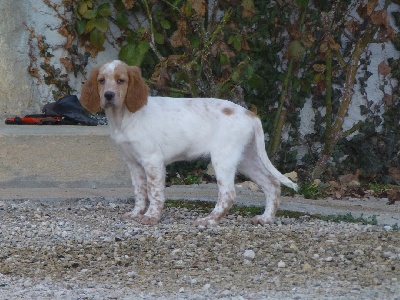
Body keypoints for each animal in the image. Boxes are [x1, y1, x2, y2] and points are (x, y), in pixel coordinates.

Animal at [80, 59, 296, 226]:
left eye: (121, 80)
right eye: (101, 80)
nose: (108, 95)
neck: (124, 117)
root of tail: (250, 114)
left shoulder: (152, 160)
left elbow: (154, 192)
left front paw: (151, 217)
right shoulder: (133, 162)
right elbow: (140, 191)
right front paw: (135, 213)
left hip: (223, 158)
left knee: (228, 193)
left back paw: (209, 220)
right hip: (245, 158)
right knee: (272, 184)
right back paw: (266, 219)